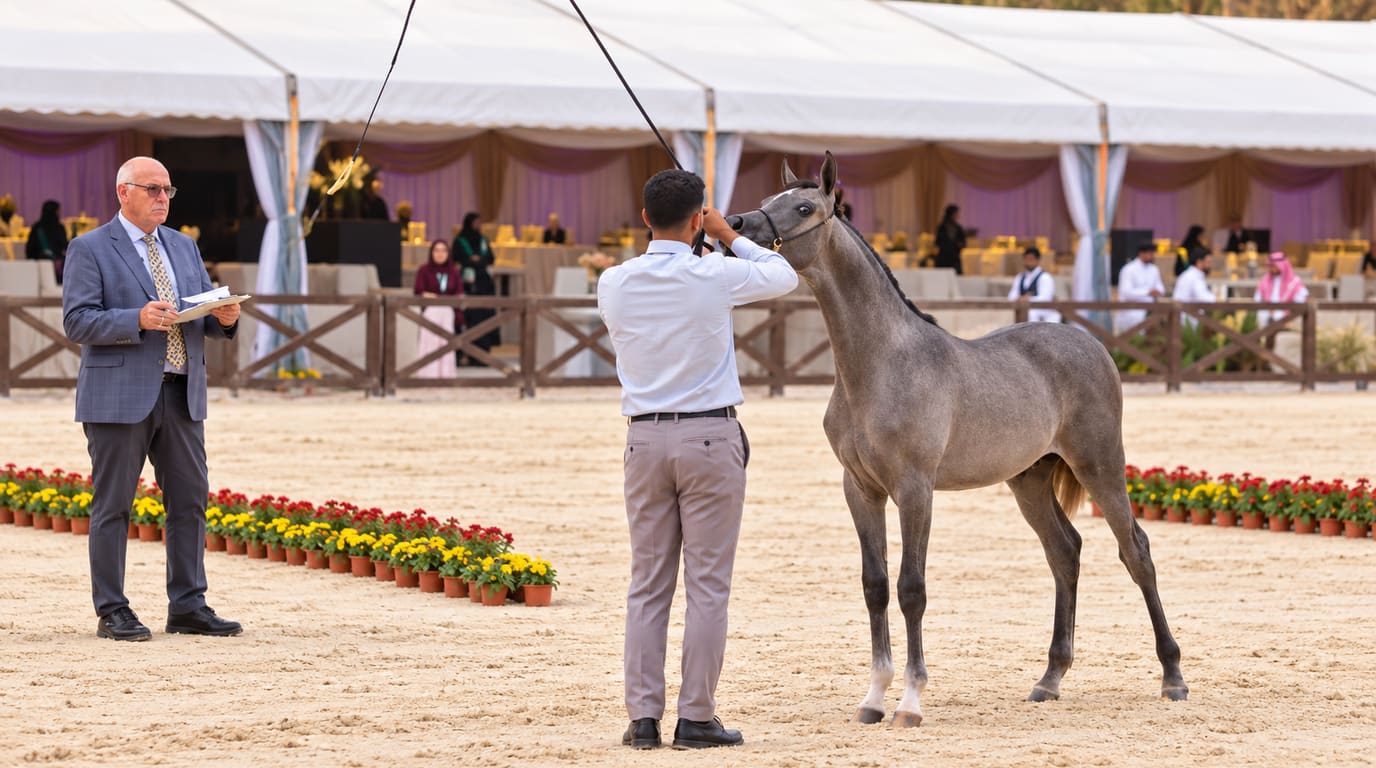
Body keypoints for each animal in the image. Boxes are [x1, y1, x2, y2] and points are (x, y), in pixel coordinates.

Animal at [725, 152, 1187, 727]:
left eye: (804, 208)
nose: (735, 225)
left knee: (1135, 551)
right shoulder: (861, 489)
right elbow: (875, 586)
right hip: (1029, 479)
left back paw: (1172, 676)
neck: (880, 365)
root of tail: (1090, 343)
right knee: (1065, 552)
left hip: (1100, 464)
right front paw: (873, 698)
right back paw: (1050, 679)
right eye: (769, 200)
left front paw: (910, 702)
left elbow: (911, 589)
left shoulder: (914, 489)